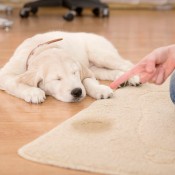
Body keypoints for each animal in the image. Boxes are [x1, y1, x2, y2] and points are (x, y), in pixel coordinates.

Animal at [0, 31, 140, 103]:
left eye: (74, 73)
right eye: (57, 79)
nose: (77, 92)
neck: (42, 48)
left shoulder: (84, 70)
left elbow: (87, 81)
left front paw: (99, 90)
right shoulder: (5, 74)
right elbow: (14, 82)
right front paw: (33, 92)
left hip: (101, 54)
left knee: (127, 64)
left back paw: (133, 78)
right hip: (95, 66)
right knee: (108, 71)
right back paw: (122, 78)